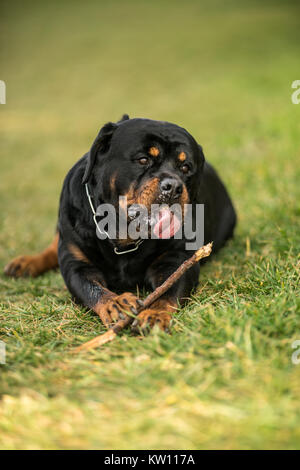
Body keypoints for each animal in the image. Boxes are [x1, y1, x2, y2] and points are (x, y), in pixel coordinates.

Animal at [2, 115, 237, 332]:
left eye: (186, 167)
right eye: (143, 160)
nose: (173, 186)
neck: (123, 234)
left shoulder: (177, 260)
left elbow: (168, 291)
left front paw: (155, 314)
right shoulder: (76, 265)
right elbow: (91, 288)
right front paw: (116, 302)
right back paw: (26, 263)